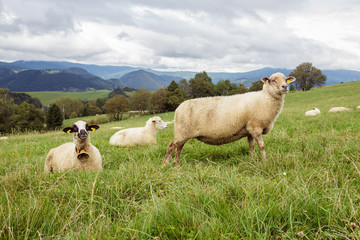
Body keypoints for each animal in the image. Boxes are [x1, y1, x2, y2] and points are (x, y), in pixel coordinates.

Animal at [163, 72, 296, 166]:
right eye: (273, 80)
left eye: (285, 79)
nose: (285, 87)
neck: (265, 99)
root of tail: (177, 109)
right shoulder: (256, 127)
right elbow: (262, 146)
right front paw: (265, 161)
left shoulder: (249, 130)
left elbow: (251, 146)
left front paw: (252, 159)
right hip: (182, 132)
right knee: (171, 146)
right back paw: (165, 165)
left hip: (183, 133)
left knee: (179, 147)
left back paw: (177, 164)